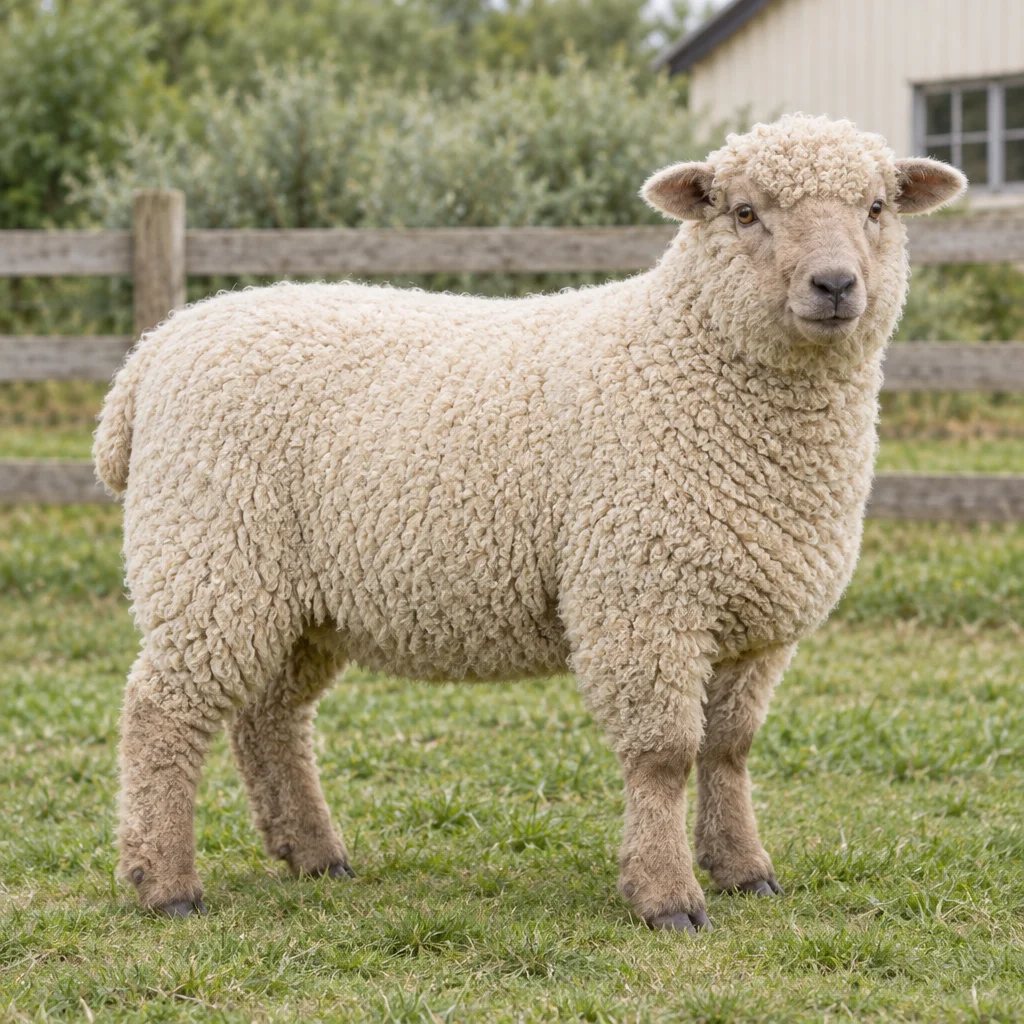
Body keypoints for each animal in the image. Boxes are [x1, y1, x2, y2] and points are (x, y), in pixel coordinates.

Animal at [94, 115, 965, 929]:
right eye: (746, 212)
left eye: (877, 207)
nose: (835, 284)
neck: (689, 355)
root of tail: (154, 350)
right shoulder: (641, 596)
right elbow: (664, 755)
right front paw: (667, 896)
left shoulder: (754, 618)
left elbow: (729, 749)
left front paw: (744, 868)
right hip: (210, 555)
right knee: (161, 712)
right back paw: (166, 883)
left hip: (297, 597)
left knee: (271, 718)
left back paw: (313, 854)